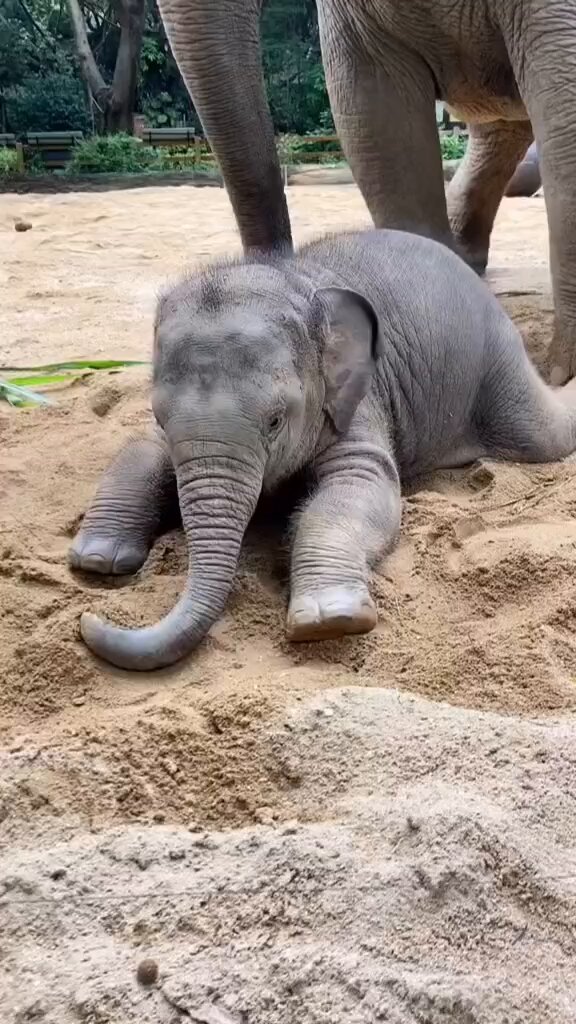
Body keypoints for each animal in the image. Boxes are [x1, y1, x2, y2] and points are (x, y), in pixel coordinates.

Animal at [70, 228, 576, 671]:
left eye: (276, 420)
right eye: (159, 416)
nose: (89, 619)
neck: (295, 281)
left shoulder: (359, 397)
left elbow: (359, 485)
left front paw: (330, 621)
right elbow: (139, 452)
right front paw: (98, 560)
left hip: (498, 363)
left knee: (541, 435)